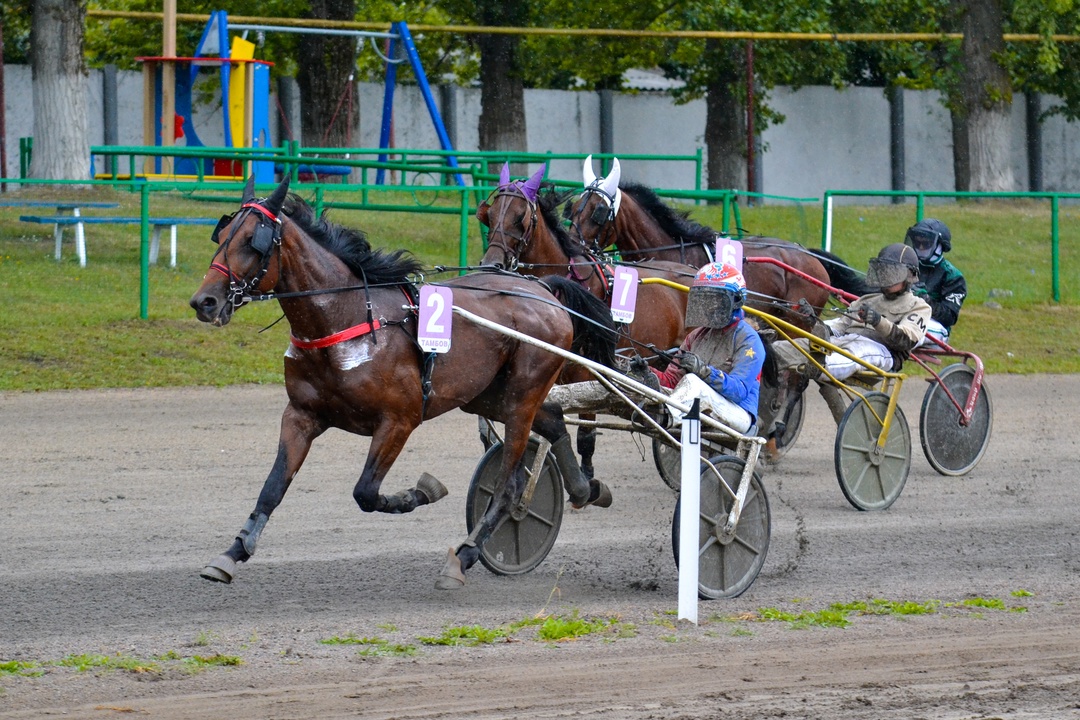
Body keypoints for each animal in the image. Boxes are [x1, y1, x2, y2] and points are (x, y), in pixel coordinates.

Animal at [190, 175, 622, 591]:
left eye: (253, 241)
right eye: (222, 234)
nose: (204, 302)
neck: (347, 318)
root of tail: (544, 289)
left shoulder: (399, 420)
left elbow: (365, 493)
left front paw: (422, 491)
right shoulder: (301, 415)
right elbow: (273, 487)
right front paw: (232, 553)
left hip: (521, 394)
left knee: (510, 485)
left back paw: (464, 557)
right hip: (486, 395)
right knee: (552, 420)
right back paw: (585, 489)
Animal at [477, 167, 686, 481]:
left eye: (520, 217)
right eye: (489, 216)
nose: (492, 264)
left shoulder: (586, 372)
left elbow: (586, 436)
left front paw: (587, 479)